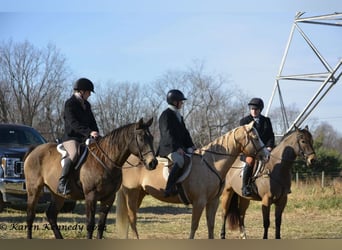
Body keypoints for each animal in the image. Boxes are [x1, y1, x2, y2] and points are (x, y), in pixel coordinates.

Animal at [23, 118, 158, 239]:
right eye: (141, 138)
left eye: (151, 138)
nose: (153, 163)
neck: (105, 161)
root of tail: (34, 149)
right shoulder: (90, 196)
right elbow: (90, 224)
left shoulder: (109, 198)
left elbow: (101, 224)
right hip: (34, 189)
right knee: (30, 215)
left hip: (58, 194)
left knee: (51, 214)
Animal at [116, 122, 272, 239]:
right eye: (256, 138)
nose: (267, 155)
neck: (211, 164)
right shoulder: (199, 202)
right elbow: (194, 226)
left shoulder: (213, 201)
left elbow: (210, 225)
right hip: (132, 193)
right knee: (132, 218)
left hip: (140, 194)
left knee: (130, 218)